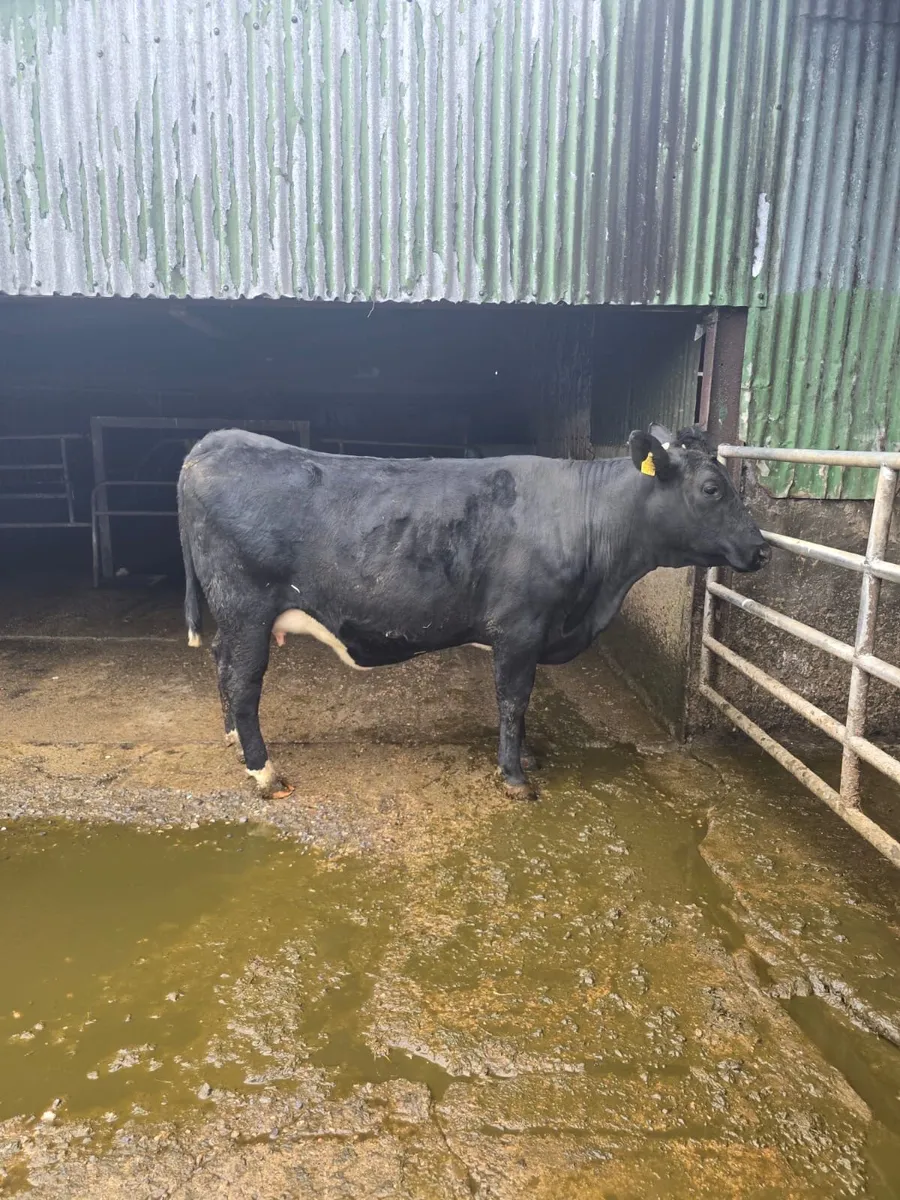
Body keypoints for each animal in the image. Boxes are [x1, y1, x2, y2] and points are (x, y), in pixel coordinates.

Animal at [177, 423, 768, 801]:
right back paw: (263, 772)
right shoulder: (520, 630)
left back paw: (233, 741)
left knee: (222, 663)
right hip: (248, 609)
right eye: (711, 488)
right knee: (244, 680)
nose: (762, 549)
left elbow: (520, 707)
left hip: (234, 616)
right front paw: (515, 777)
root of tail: (216, 442)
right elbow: (514, 702)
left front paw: (524, 760)